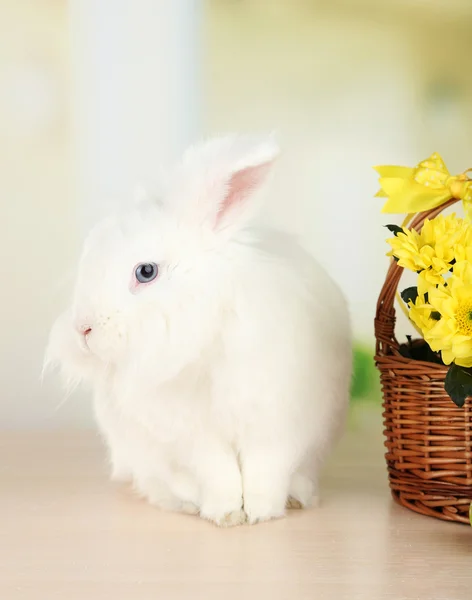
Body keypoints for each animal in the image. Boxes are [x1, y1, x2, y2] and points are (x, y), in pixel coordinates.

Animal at [46, 135, 352, 524]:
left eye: (146, 271)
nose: (83, 329)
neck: (206, 335)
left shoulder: (278, 422)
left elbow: (265, 470)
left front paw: (262, 513)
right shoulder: (193, 435)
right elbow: (218, 472)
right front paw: (227, 514)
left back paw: (298, 497)